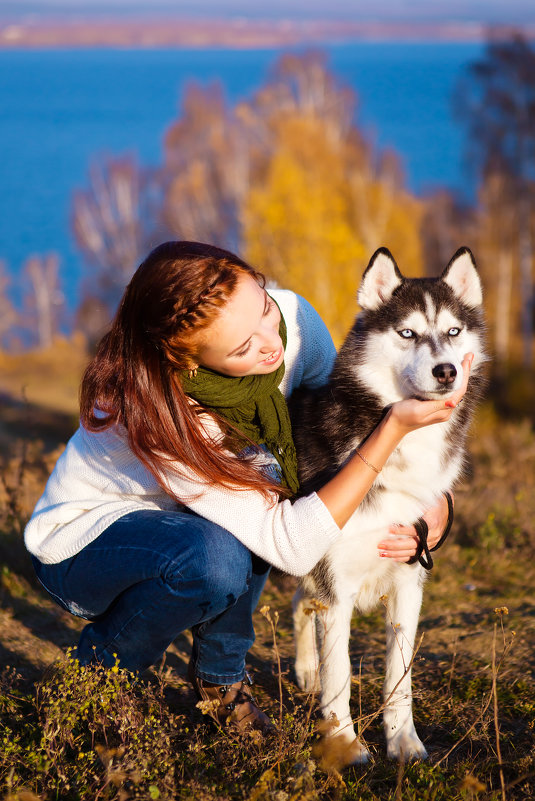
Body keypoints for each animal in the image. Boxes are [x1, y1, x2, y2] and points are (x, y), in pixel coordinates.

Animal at [292, 245, 488, 764]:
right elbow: (340, 676)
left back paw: (305, 670)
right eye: (408, 333)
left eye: (453, 332)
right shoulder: (336, 587)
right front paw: (343, 745)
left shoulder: (409, 580)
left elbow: (400, 679)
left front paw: (403, 742)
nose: (447, 371)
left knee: (301, 603)